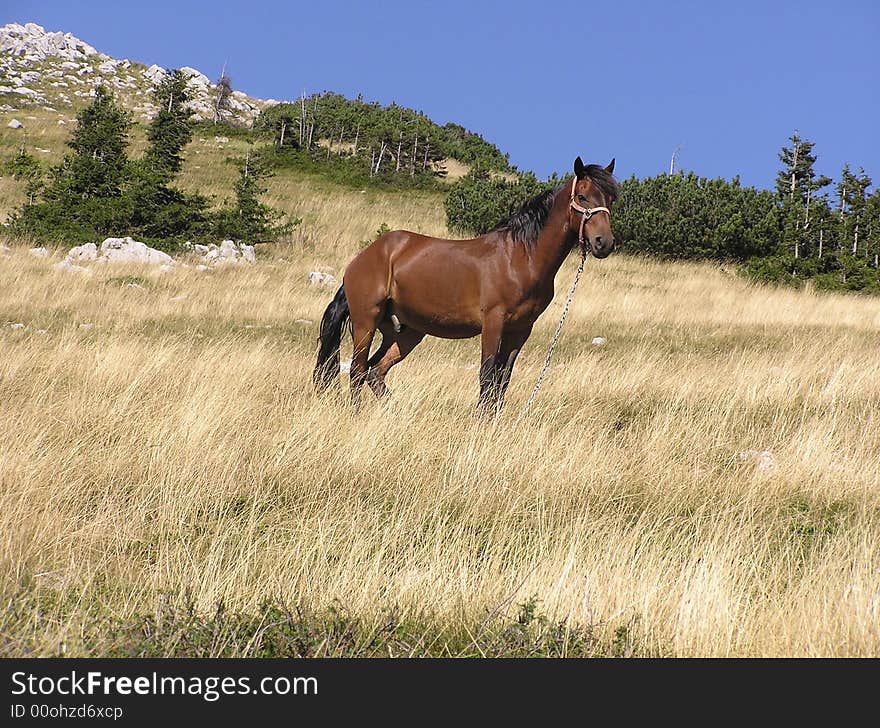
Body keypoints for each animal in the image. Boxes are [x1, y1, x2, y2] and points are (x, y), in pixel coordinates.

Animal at [316, 156, 620, 412]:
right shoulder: (493, 322)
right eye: (582, 196)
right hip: (365, 321)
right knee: (357, 370)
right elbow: (487, 376)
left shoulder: (521, 330)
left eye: (610, 199)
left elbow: (502, 380)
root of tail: (364, 258)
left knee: (375, 370)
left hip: (405, 331)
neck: (520, 257)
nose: (603, 243)